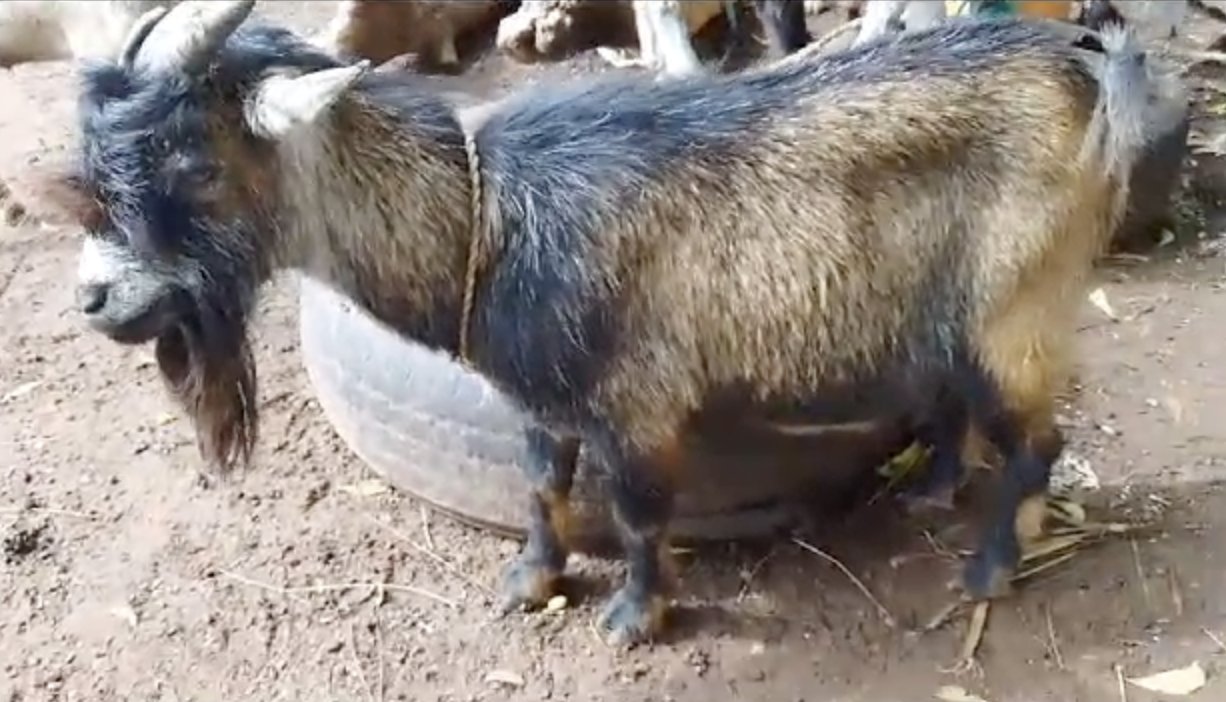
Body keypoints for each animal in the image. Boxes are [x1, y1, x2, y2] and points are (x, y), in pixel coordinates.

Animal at [59, 0, 1157, 647]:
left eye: (192, 161)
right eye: (97, 157)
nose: (96, 299)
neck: (484, 217)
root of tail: (1080, 73)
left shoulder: (638, 404)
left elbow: (634, 513)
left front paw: (636, 615)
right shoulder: (540, 398)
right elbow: (542, 489)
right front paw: (531, 578)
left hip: (1016, 306)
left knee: (1038, 438)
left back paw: (989, 569)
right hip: (946, 310)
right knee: (954, 402)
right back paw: (933, 490)